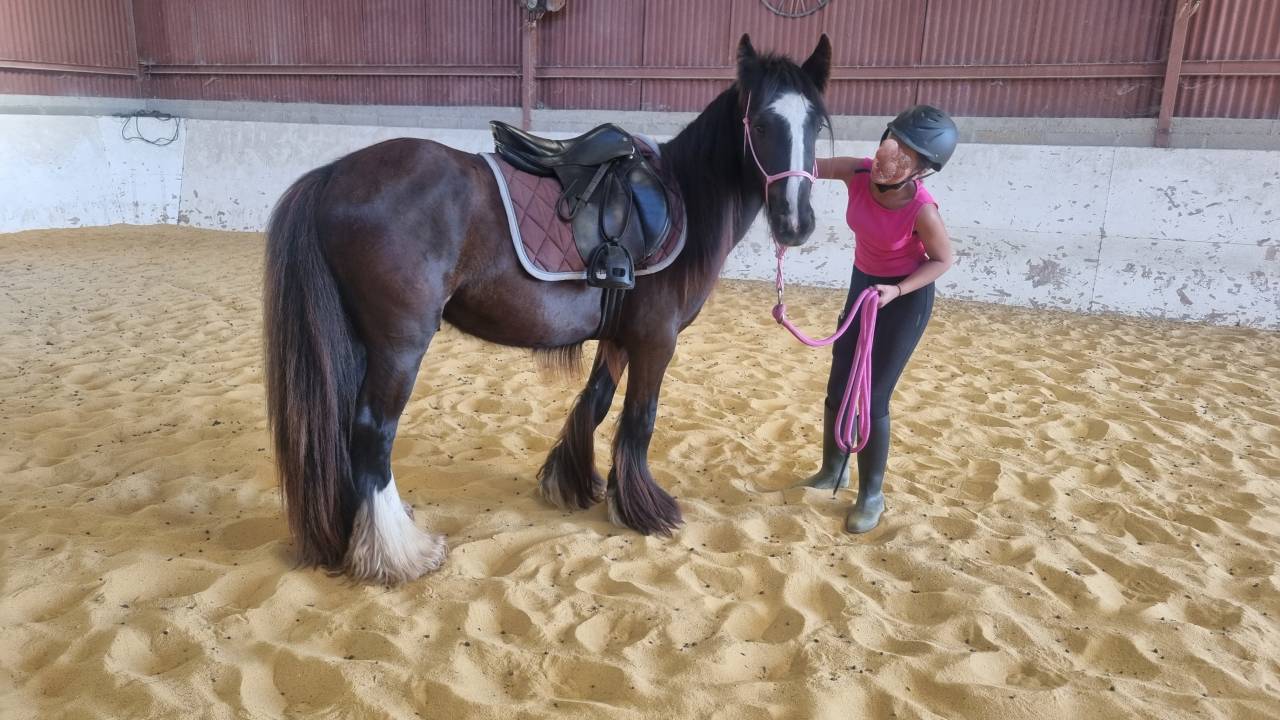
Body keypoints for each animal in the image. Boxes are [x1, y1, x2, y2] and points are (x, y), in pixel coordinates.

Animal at [263, 34, 832, 584]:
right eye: (761, 123)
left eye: (817, 123)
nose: (797, 224)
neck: (684, 200)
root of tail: (335, 174)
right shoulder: (657, 339)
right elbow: (640, 419)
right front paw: (644, 510)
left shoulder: (619, 335)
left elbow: (595, 403)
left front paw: (573, 483)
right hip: (399, 345)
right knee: (371, 434)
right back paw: (399, 553)